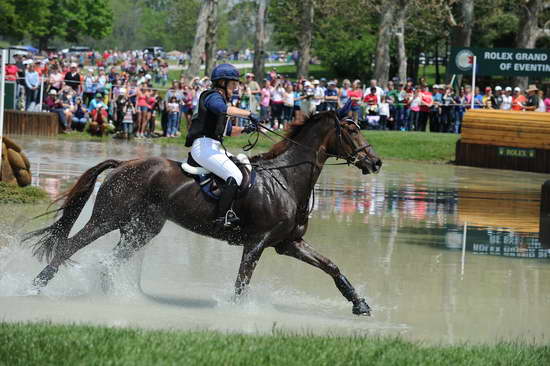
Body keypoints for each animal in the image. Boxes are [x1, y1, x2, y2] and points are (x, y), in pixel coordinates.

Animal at [22, 110, 384, 316]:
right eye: (352, 131)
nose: (376, 161)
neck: (284, 179)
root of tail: (124, 163)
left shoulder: (288, 244)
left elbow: (332, 267)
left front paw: (360, 304)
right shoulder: (256, 243)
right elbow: (241, 283)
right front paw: (236, 312)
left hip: (141, 229)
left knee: (109, 263)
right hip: (106, 219)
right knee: (69, 247)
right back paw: (33, 288)